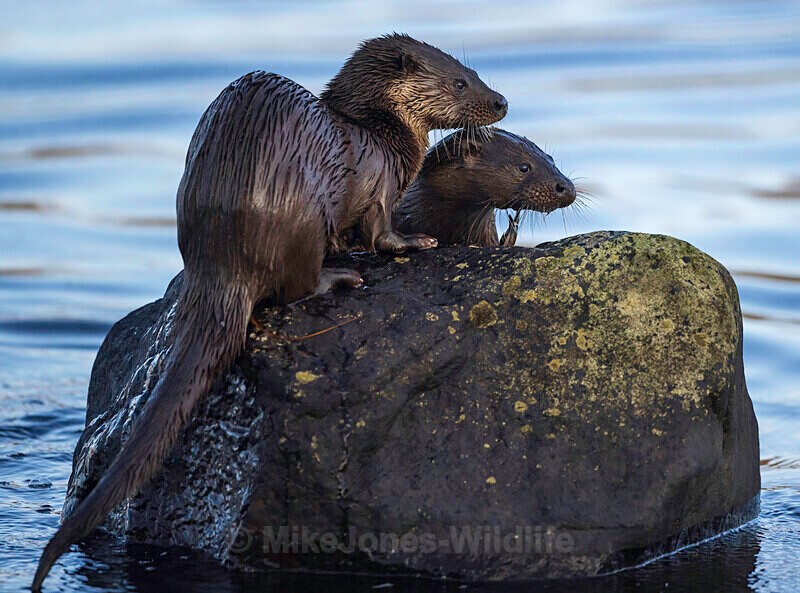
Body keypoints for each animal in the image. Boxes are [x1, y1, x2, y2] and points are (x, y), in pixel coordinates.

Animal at [33, 34, 506, 590]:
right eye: (460, 82)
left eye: (472, 73)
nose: (500, 101)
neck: (383, 133)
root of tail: (223, 262)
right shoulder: (379, 186)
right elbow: (381, 234)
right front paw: (414, 242)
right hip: (305, 215)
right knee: (293, 286)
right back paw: (338, 276)